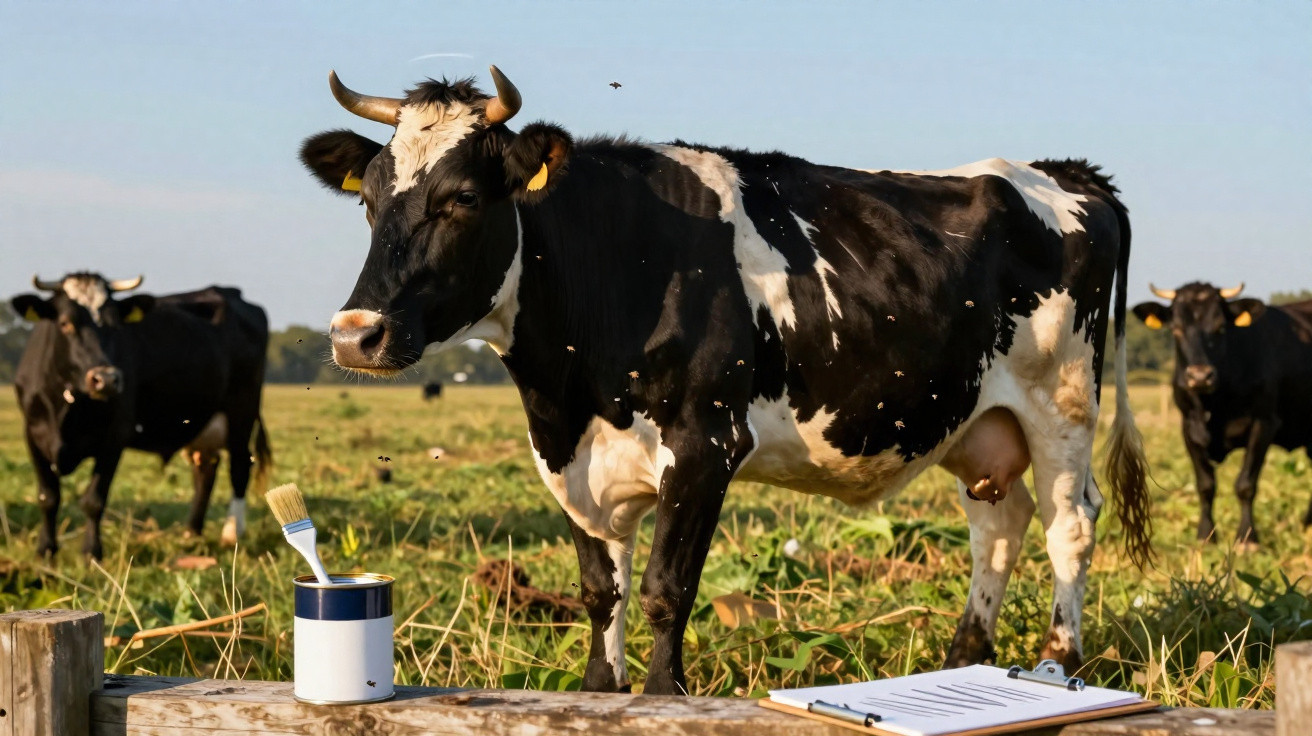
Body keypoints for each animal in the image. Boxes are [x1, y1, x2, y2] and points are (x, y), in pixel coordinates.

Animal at [10, 274, 272, 559]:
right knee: (205, 470)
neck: (68, 407)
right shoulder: (33, 434)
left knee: (240, 466)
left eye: (116, 325)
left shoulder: (114, 437)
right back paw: (191, 532)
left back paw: (231, 532)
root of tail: (231, 293)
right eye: (66, 323)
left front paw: (92, 553)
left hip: (241, 411)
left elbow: (94, 500)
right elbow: (48, 497)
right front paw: (45, 550)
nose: (106, 379)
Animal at [299, 67, 1150, 693]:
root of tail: (1061, 172)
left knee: (1068, 524)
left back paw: (1057, 665)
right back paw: (962, 659)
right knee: (997, 525)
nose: (355, 335)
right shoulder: (573, 462)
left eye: (464, 199)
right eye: (369, 201)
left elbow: (665, 591)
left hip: (1062, 402)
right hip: (977, 421)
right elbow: (601, 593)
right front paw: (600, 691)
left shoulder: (705, 445)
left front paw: (662, 695)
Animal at [1133, 283, 1312, 548]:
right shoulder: (1188, 428)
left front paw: (1247, 537)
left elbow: (1246, 484)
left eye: (1220, 327)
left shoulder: (1264, 423)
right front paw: (1205, 535)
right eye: (1176, 329)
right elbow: (1205, 485)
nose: (1199, 376)